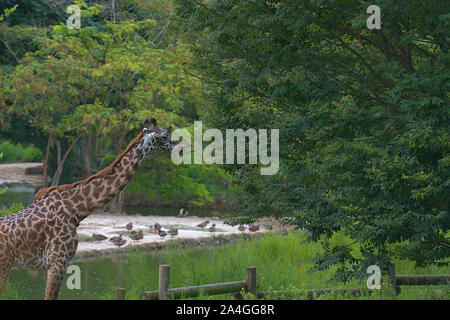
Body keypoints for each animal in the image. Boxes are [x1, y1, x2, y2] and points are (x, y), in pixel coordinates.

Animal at [0, 118, 183, 300]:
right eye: (165, 135)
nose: (179, 145)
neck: (76, 209)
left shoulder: (56, 262)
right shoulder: (58, 261)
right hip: (5, 265)